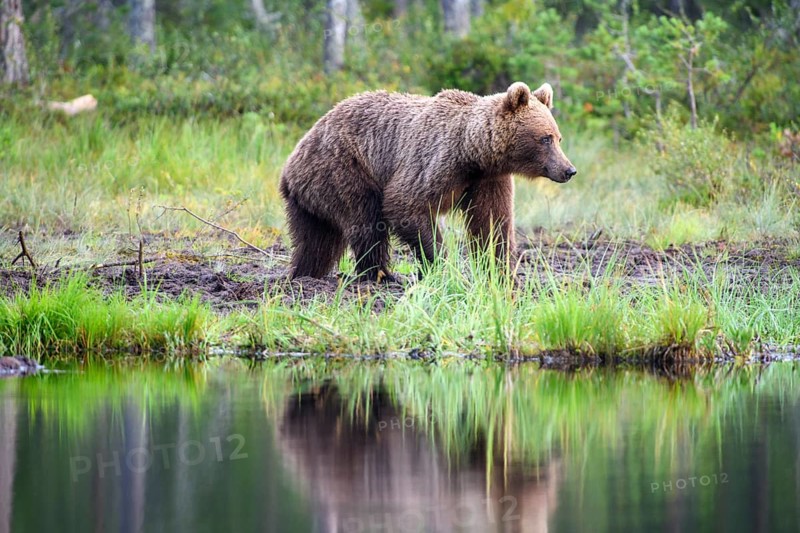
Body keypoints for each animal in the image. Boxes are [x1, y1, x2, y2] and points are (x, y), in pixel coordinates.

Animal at [279, 81, 576, 281]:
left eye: (558, 137)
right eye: (545, 138)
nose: (568, 170)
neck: (473, 152)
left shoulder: (488, 179)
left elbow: (492, 223)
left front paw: (500, 272)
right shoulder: (434, 161)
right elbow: (405, 204)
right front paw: (441, 264)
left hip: (314, 194)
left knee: (316, 240)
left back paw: (304, 274)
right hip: (344, 169)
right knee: (365, 220)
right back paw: (381, 275)